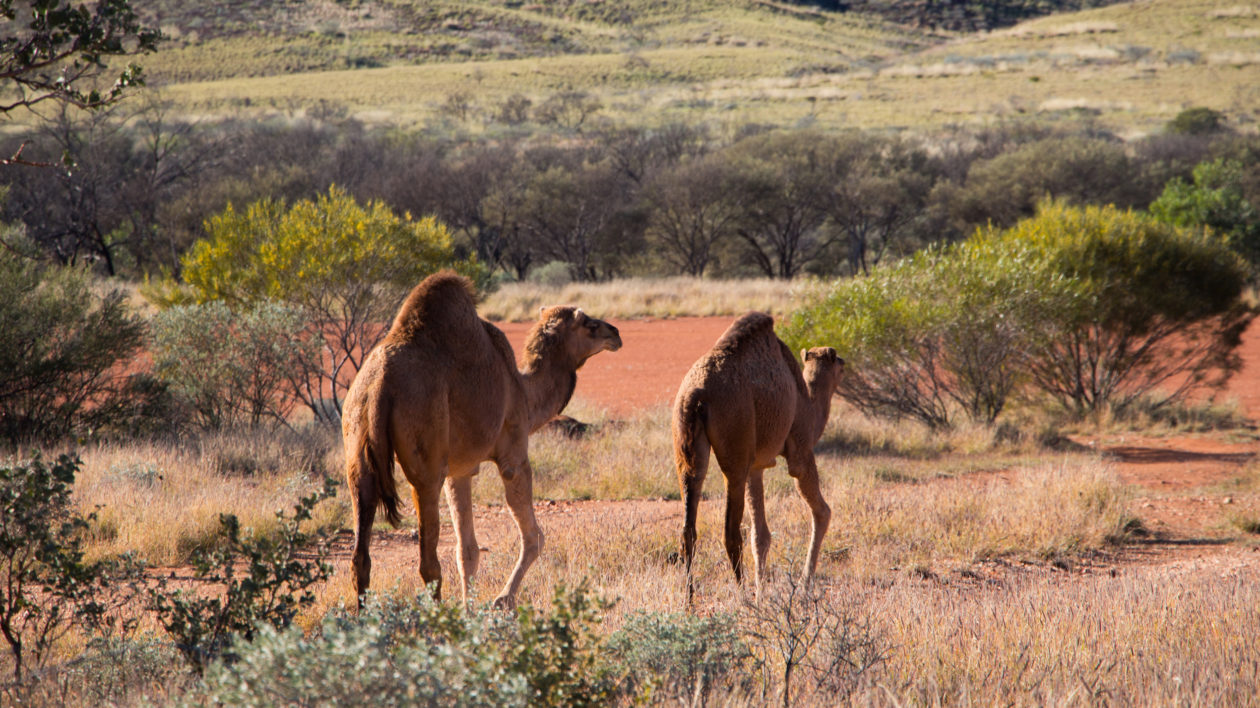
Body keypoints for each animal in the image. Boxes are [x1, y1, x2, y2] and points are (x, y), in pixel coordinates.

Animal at [342, 269, 622, 607]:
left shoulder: (460, 471)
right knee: (428, 562)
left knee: (360, 556)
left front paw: (470, 607)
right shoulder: (513, 454)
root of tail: (380, 385)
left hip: (357, 446)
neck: (524, 392)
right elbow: (533, 537)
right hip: (426, 460)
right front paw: (503, 600)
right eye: (588, 323)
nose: (615, 332)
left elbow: (468, 551)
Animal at [675, 311, 841, 597]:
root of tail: (696, 396)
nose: (843, 363)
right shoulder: (801, 449)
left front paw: (763, 588)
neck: (808, 403)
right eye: (839, 359)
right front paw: (804, 584)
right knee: (730, 531)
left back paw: (689, 599)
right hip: (735, 443)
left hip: (687, 447)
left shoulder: (757, 466)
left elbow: (761, 534)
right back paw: (743, 595)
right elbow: (822, 512)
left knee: (689, 527)